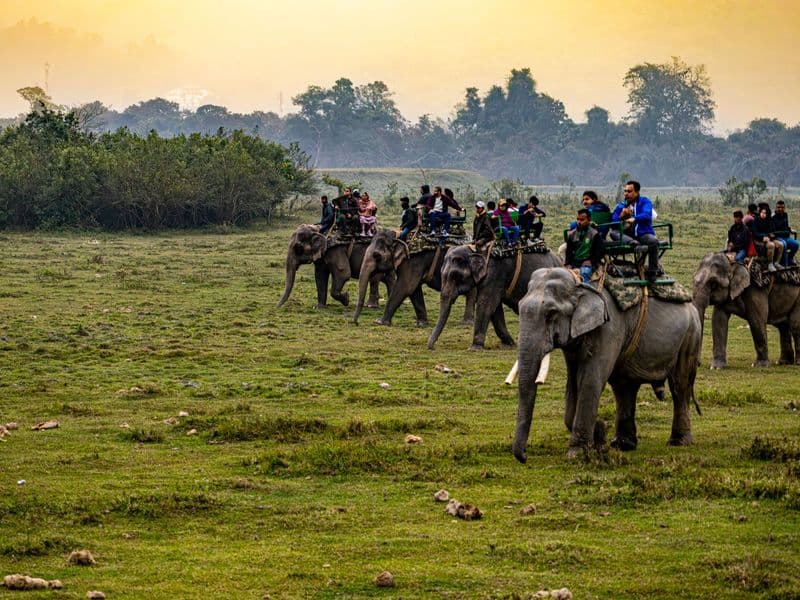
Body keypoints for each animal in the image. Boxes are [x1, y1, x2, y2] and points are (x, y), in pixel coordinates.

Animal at [428, 245, 562, 350]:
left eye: (455, 276)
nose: (431, 348)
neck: (475, 249)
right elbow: (495, 309)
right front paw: (510, 344)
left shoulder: (495, 273)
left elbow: (486, 304)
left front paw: (474, 348)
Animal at [512, 268, 701, 461]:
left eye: (551, 313)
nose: (524, 457)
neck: (580, 284)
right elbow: (573, 384)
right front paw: (599, 436)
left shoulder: (609, 328)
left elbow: (590, 381)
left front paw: (577, 454)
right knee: (624, 388)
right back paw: (623, 445)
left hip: (690, 336)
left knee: (679, 385)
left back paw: (678, 442)